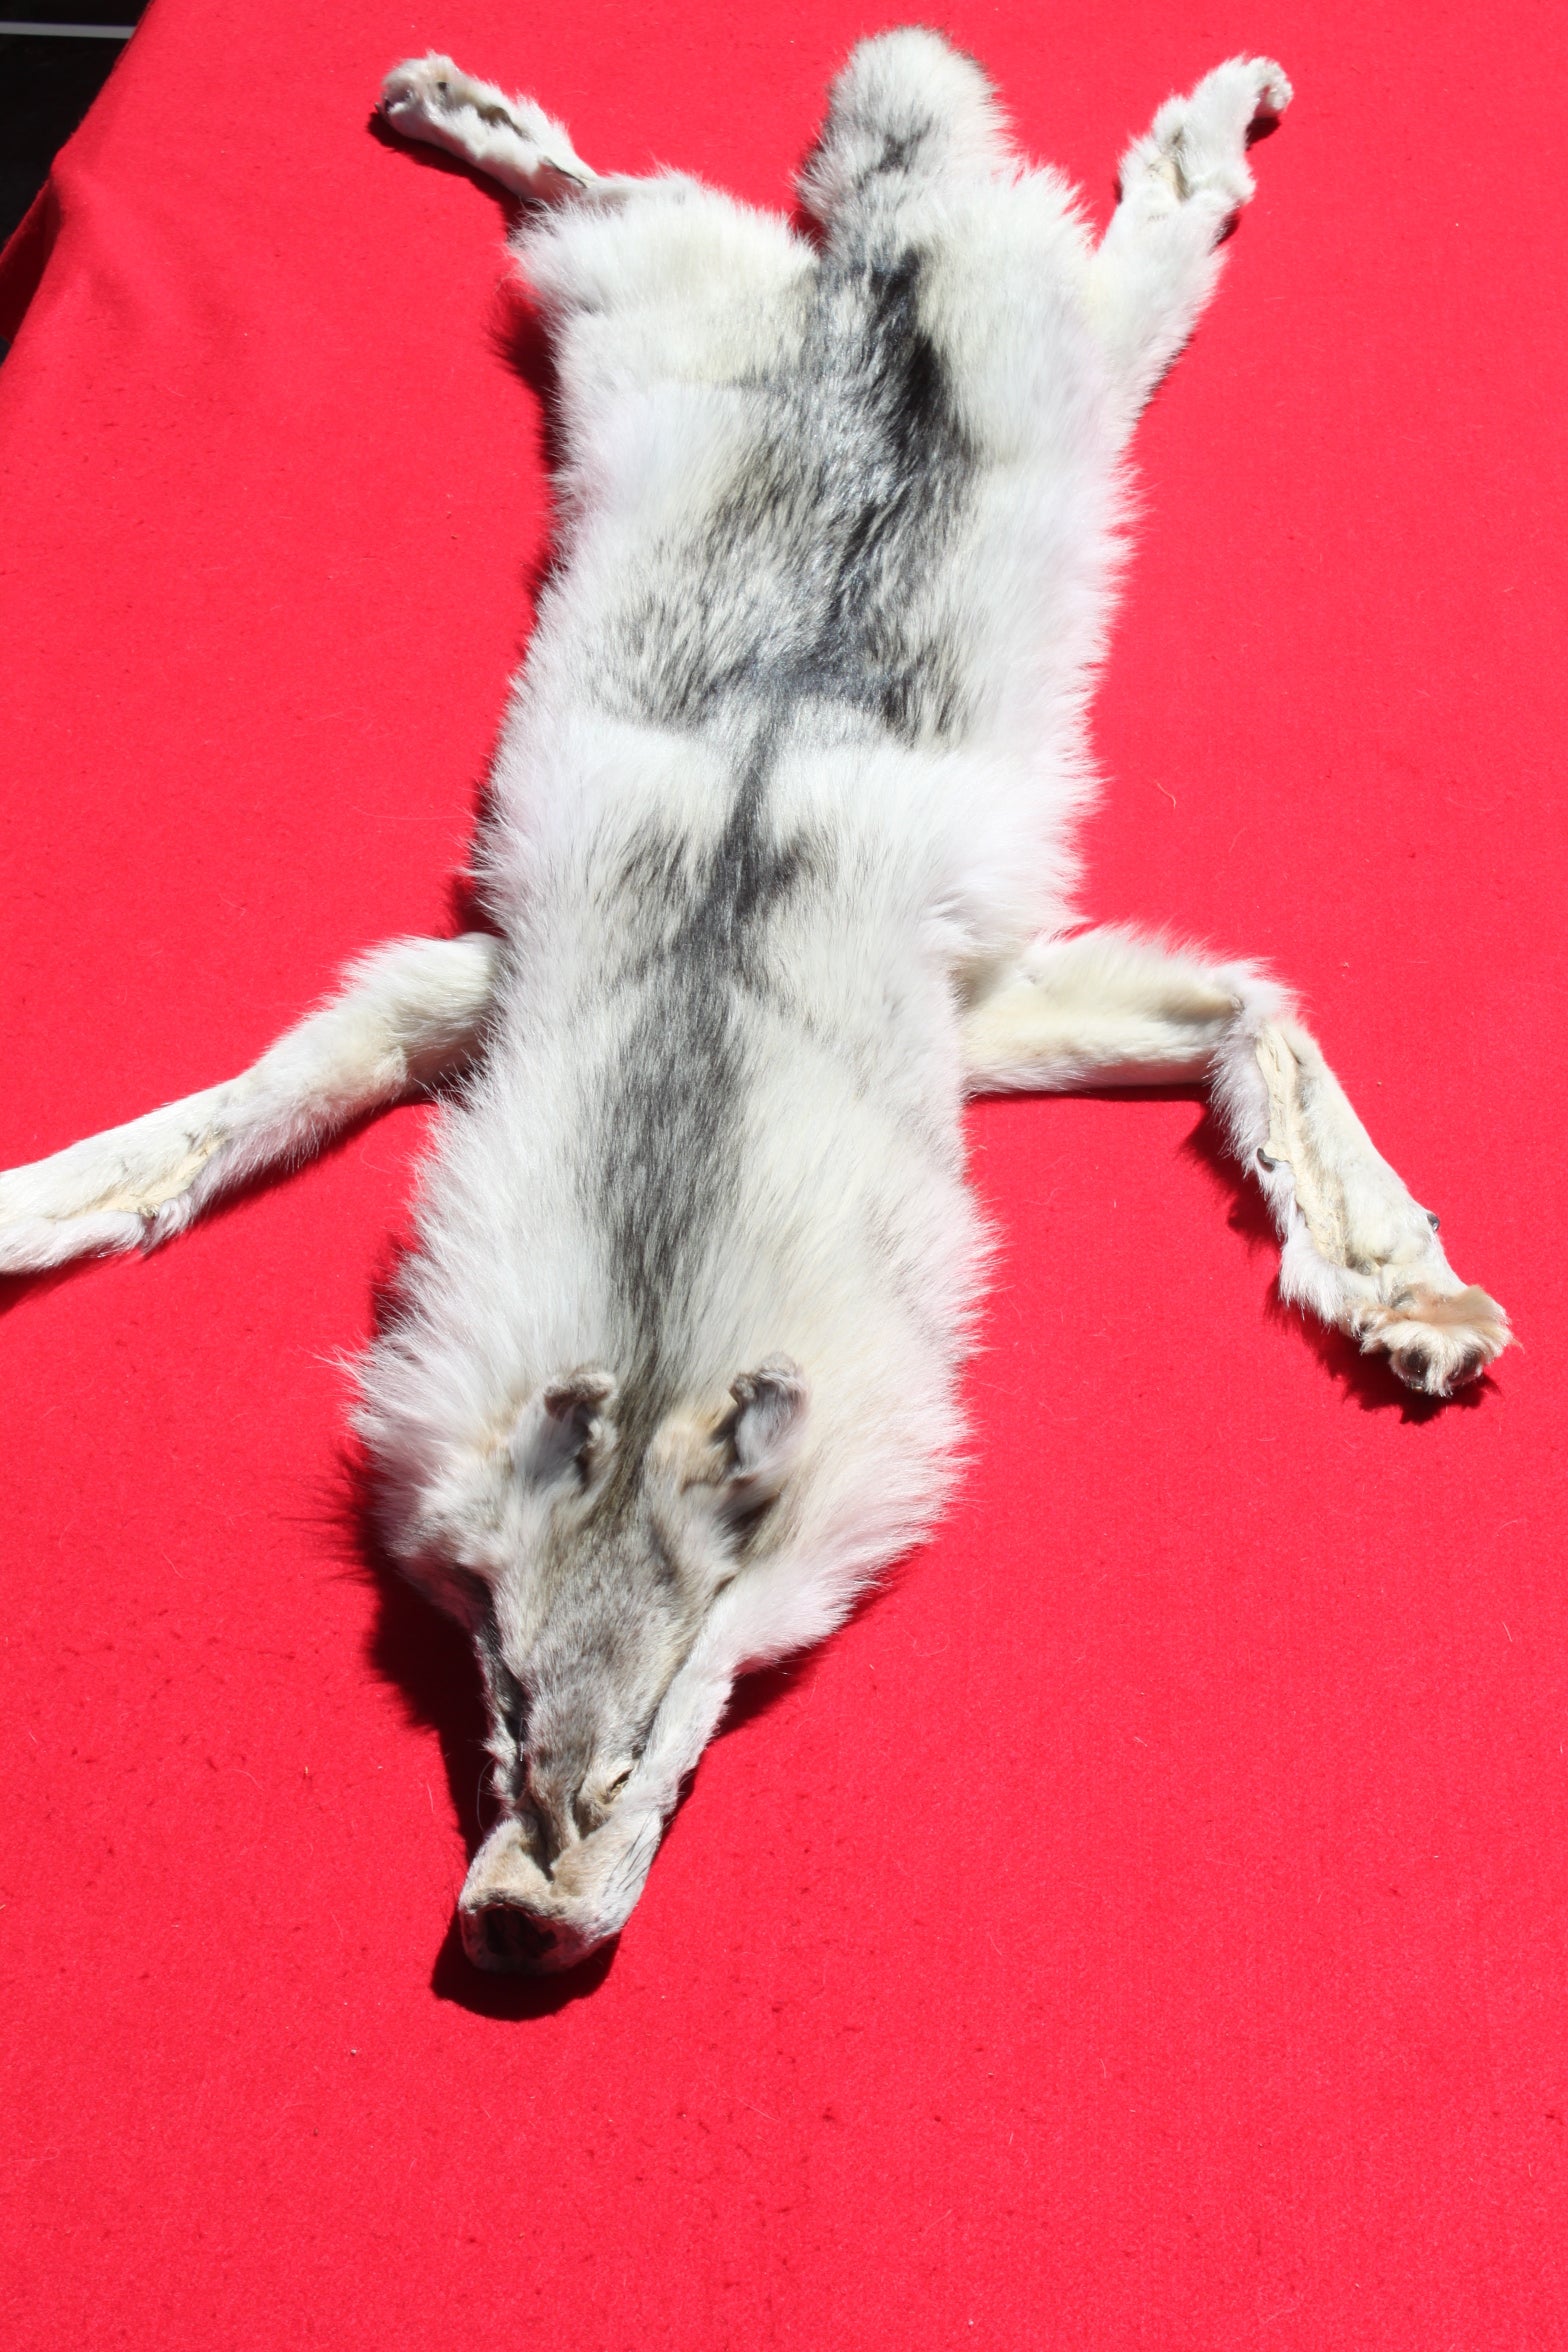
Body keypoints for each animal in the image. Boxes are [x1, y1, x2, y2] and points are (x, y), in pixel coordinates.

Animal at [0, 34, 1509, 1970]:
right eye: (495, 1692)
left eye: (648, 1738)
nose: (514, 1930)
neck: (698, 1053)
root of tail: (875, 257)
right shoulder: (464, 983)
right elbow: (221, 1121)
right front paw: (40, 1204)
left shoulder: (982, 1009)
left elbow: (1259, 1021)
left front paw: (1406, 1292)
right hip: (626, 298)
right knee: (606, 190)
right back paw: (467, 117)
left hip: (1092, 358)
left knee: (1154, 230)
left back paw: (1208, 124)